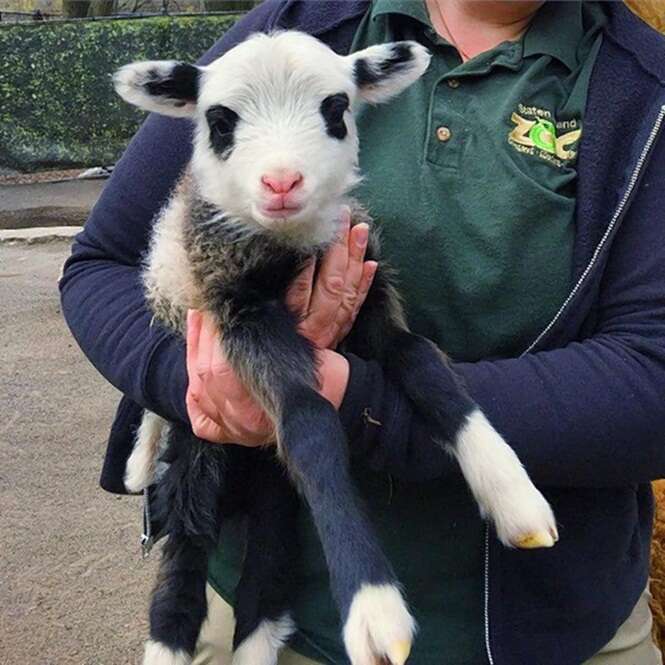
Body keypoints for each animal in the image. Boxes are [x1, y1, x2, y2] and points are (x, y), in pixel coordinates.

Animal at [113, 29, 556, 664]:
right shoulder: (240, 313)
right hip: (198, 451)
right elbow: (309, 420)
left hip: (267, 481)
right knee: (182, 575)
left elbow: (423, 361)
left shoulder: (368, 292)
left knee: (267, 568)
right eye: (219, 121)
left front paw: (514, 495)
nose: (281, 183)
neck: (287, 246)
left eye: (337, 109)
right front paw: (375, 607)